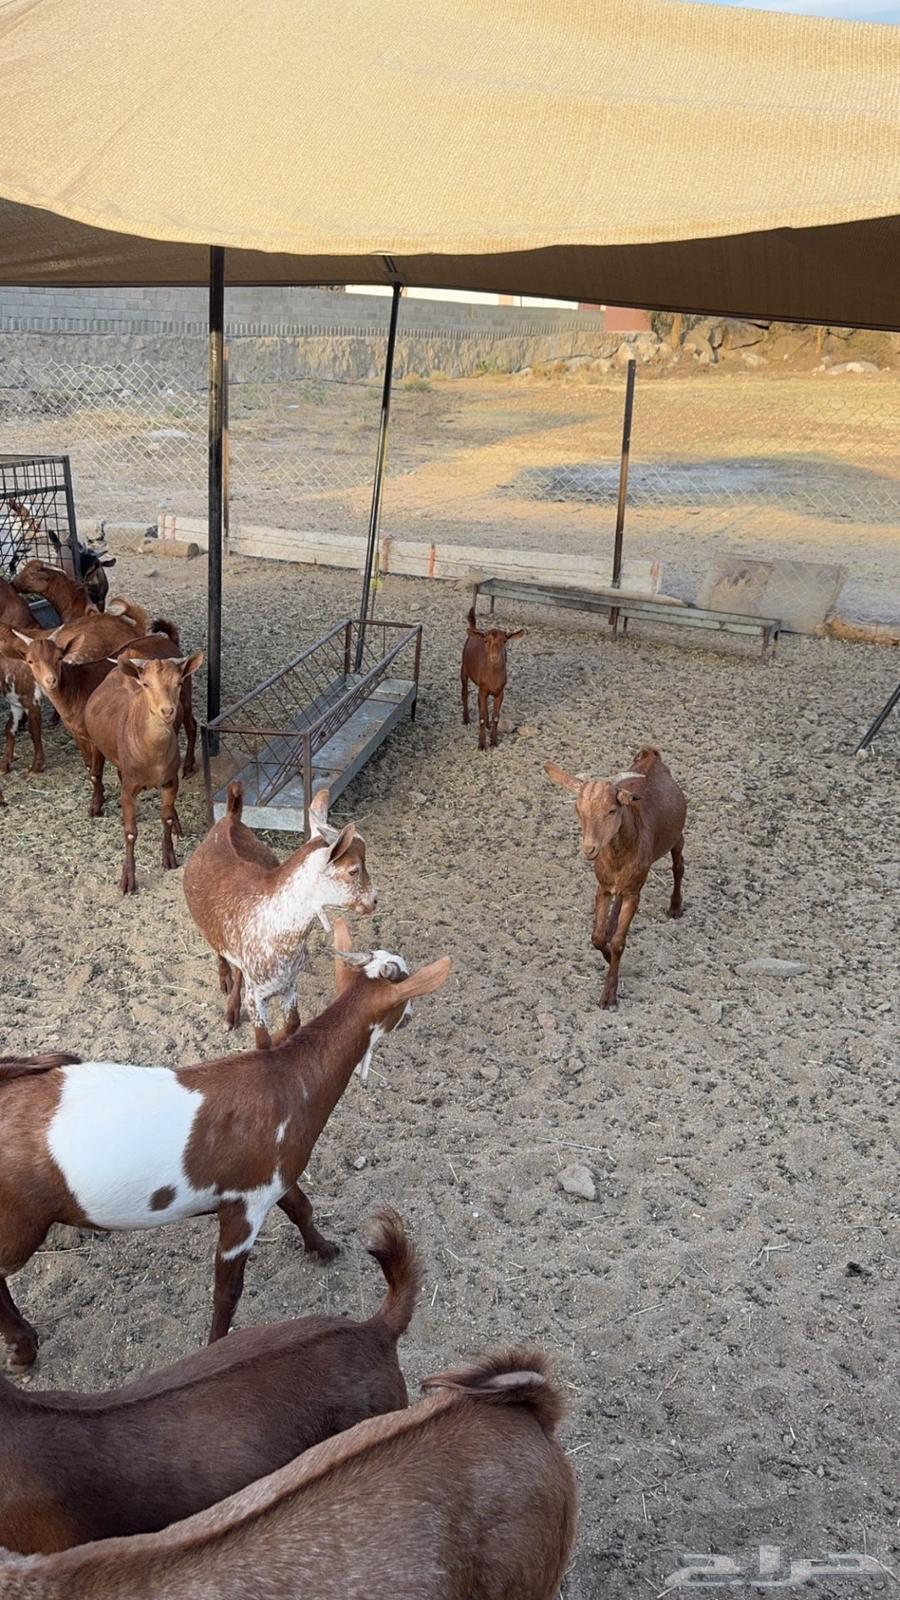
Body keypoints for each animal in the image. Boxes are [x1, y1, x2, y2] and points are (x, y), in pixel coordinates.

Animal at [0, 922, 450, 1370]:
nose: (410, 1016)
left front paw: (323, 1248)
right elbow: (227, 1292)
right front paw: (216, 1347)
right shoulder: (244, 1210)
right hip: (19, 1223)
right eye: (404, 995)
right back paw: (24, 1347)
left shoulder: (274, 1178)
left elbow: (301, 1207)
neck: (289, 1081)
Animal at [82, 649, 203, 893]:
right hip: (95, 741)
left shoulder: (169, 781)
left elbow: (165, 818)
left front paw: (169, 858)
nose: (167, 711)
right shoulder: (129, 788)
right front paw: (127, 880)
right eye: (146, 684)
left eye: (178, 682)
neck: (152, 758)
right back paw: (96, 805)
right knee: (96, 772)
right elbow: (130, 832)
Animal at [183, 782, 377, 1048]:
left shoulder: (289, 982)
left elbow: (293, 1023)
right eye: (353, 870)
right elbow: (262, 1043)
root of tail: (230, 818)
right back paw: (226, 990)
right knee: (219, 949)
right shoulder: (256, 996)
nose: (374, 900)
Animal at [461, 604, 524, 750]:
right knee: (465, 691)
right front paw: (481, 744)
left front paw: (494, 741)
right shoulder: (482, 689)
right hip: (464, 667)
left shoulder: (500, 691)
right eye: (485, 640)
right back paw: (466, 719)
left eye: (504, 641)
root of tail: (474, 629)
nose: (494, 657)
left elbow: (496, 717)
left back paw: (488, 725)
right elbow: (481, 717)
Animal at [546, 745, 686, 1009]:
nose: (589, 849)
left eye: (612, 810)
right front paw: (607, 954)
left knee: (679, 865)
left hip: (677, 836)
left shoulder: (634, 893)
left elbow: (620, 942)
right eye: (578, 810)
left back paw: (675, 907)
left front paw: (609, 994)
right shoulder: (602, 887)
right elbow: (597, 937)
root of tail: (652, 756)